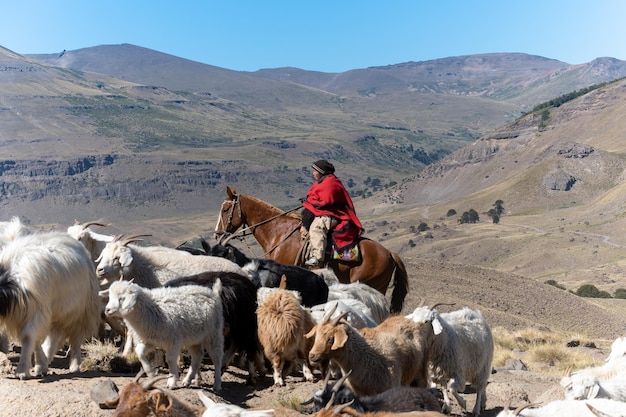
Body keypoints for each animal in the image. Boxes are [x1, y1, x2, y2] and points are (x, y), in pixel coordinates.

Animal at [0, 229, 101, 378]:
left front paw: (22, 371)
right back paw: (44, 363)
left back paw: (75, 366)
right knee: (55, 335)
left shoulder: (37, 310)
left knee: (76, 338)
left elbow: (28, 337)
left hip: (83, 310)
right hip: (59, 311)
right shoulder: (24, 313)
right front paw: (40, 365)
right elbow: (34, 338)